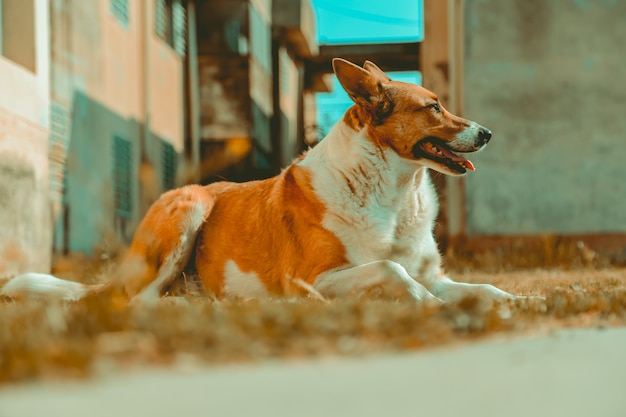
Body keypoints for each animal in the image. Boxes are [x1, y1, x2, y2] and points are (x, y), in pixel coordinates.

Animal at [1, 58, 516, 304]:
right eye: (433, 107)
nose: (489, 133)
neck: (393, 191)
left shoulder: (436, 274)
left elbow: (481, 289)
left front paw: (517, 298)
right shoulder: (311, 279)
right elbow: (393, 269)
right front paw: (428, 304)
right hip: (189, 206)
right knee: (139, 301)